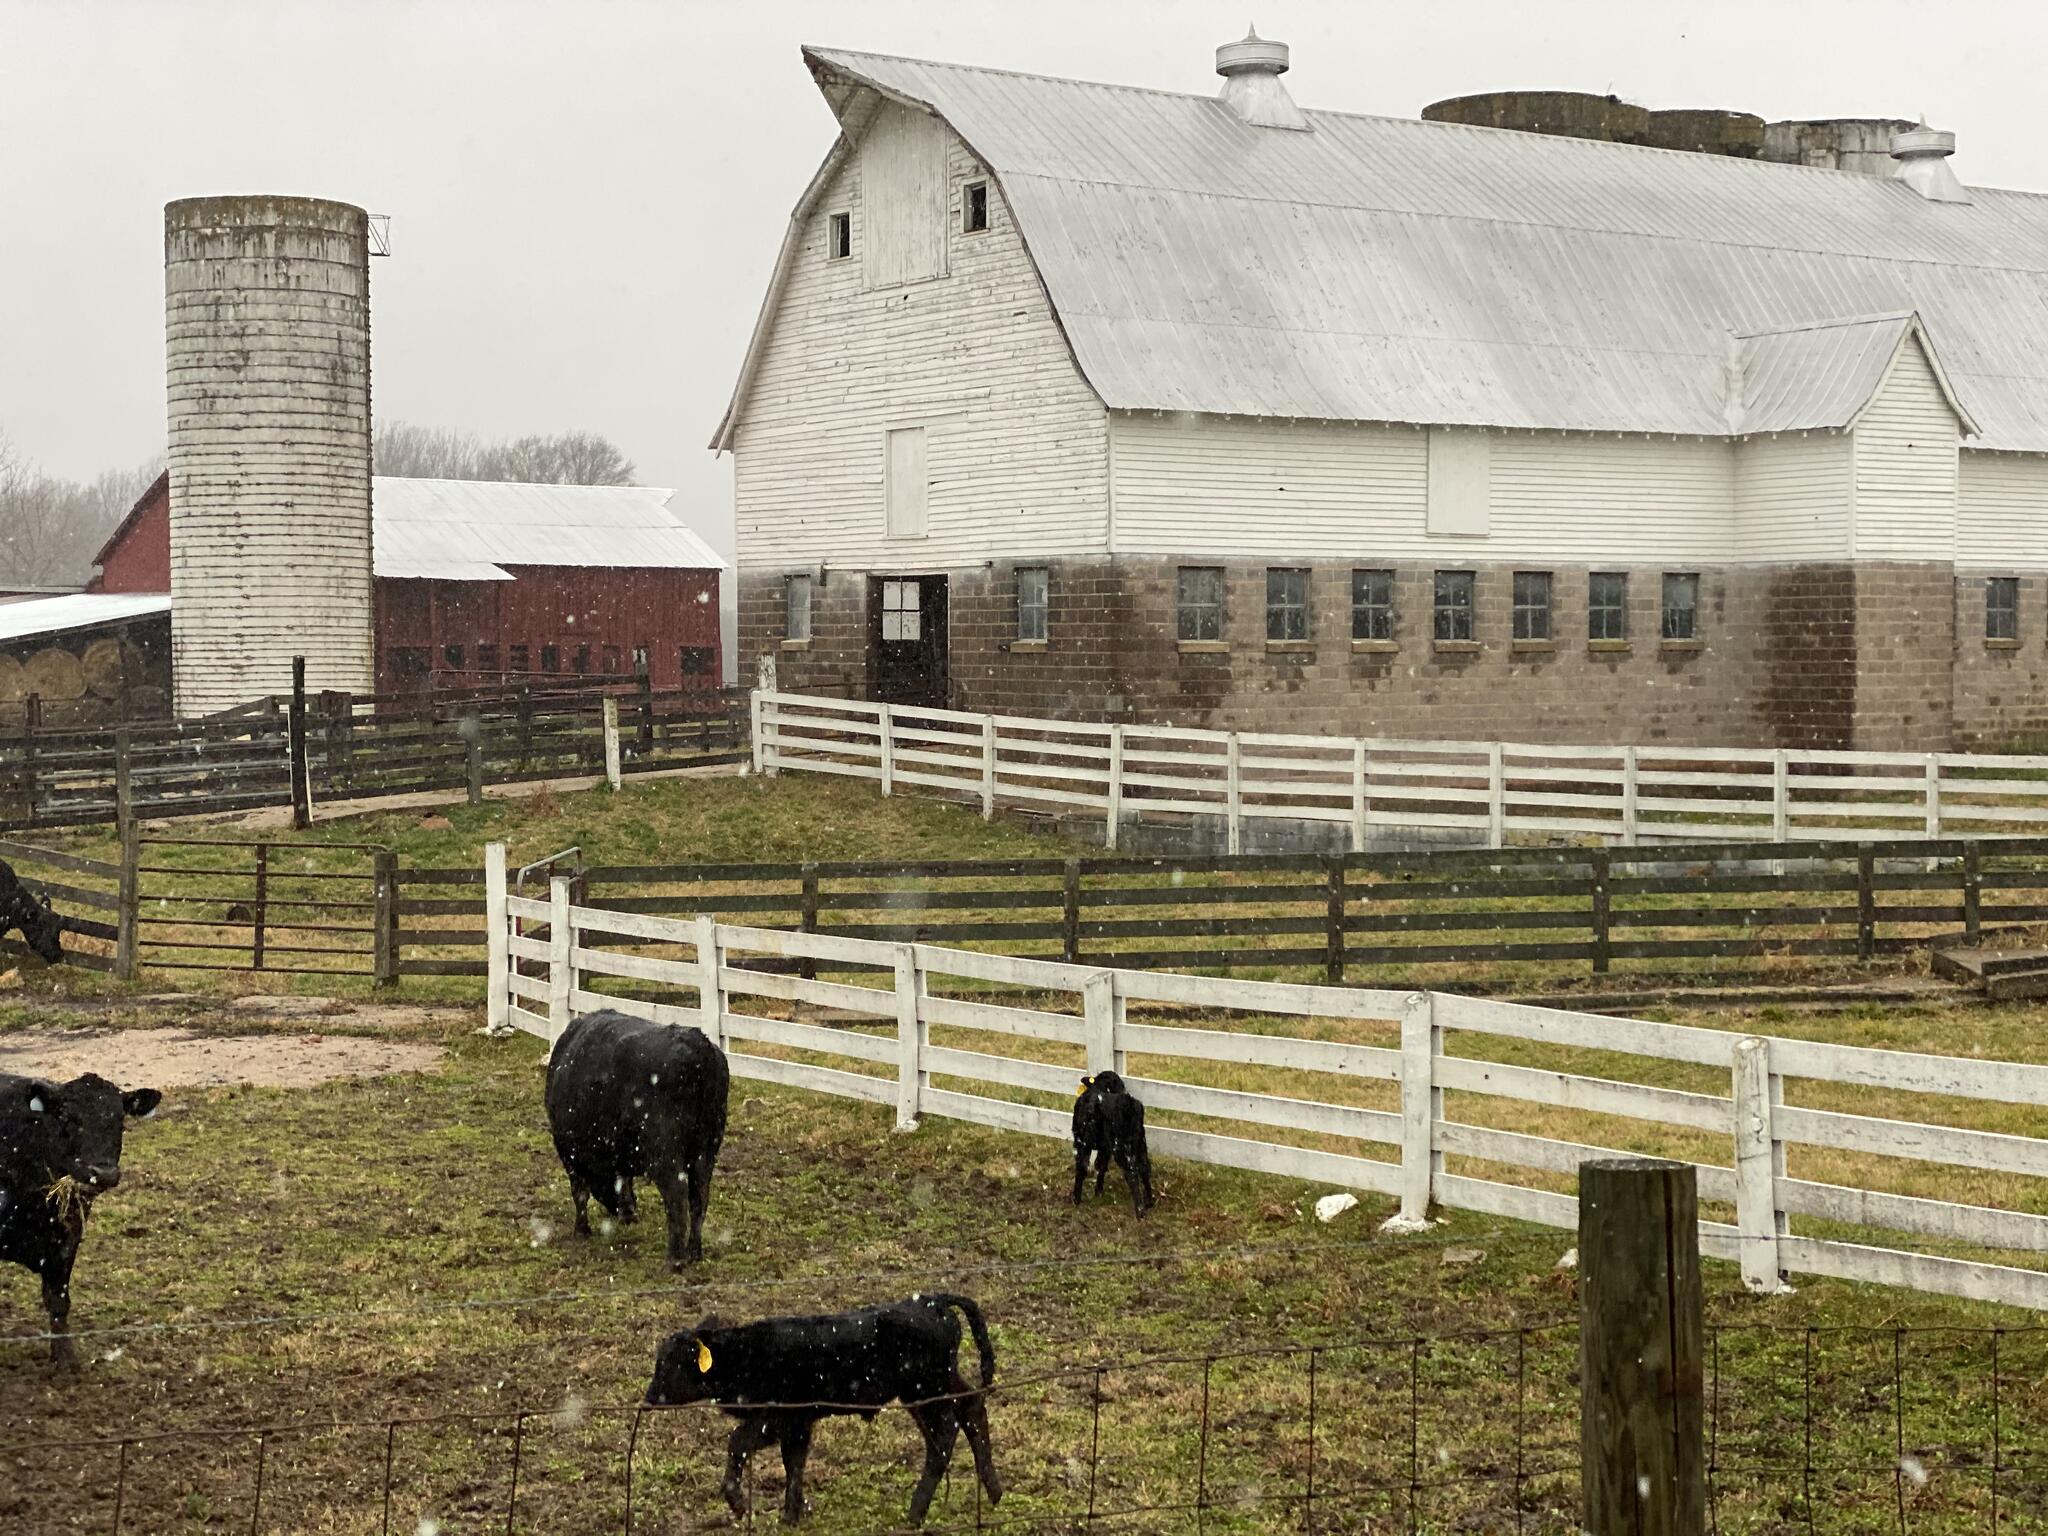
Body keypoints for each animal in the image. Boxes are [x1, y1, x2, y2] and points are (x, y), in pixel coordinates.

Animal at [1, 1073, 160, 1368]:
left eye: (120, 1119)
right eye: (66, 1117)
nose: (103, 1172)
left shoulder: (67, 1239)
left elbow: (58, 1301)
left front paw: (65, 1360)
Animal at [544, 1011, 729, 1277]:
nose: (623, 1213)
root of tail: (697, 1044)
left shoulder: (568, 1150)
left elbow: (579, 1192)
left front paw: (582, 1230)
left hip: (666, 1155)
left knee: (677, 1198)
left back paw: (675, 1259)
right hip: (705, 1152)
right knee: (699, 1198)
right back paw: (694, 1252)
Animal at [643, 1302, 1003, 1531]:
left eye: (670, 1362)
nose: (648, 1400)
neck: (747, 1355)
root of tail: (932, 1301)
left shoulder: (779, 1417)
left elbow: (738, 1442)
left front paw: (738, 1502)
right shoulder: (799, 1425)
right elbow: (794, 1462)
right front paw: (791, 1515)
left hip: (926, 1390)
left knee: (945, 1432)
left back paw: (915, 1512)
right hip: (935, 1386)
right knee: (972, 1407)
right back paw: (993, 1491)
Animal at [1073, 1073, 1155, 1212]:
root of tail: (1129, 1103)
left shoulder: (1081, 1142)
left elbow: (1081, 1168)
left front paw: (1076, 1199)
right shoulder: (1105, 1147)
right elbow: (1101, 1166)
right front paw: (1098, 1191)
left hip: (1121, 1147)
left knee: (1132, 1174)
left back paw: (1140, 1211)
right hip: (1140, 1142)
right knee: (1144, 1168)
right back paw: (1149, 1202)